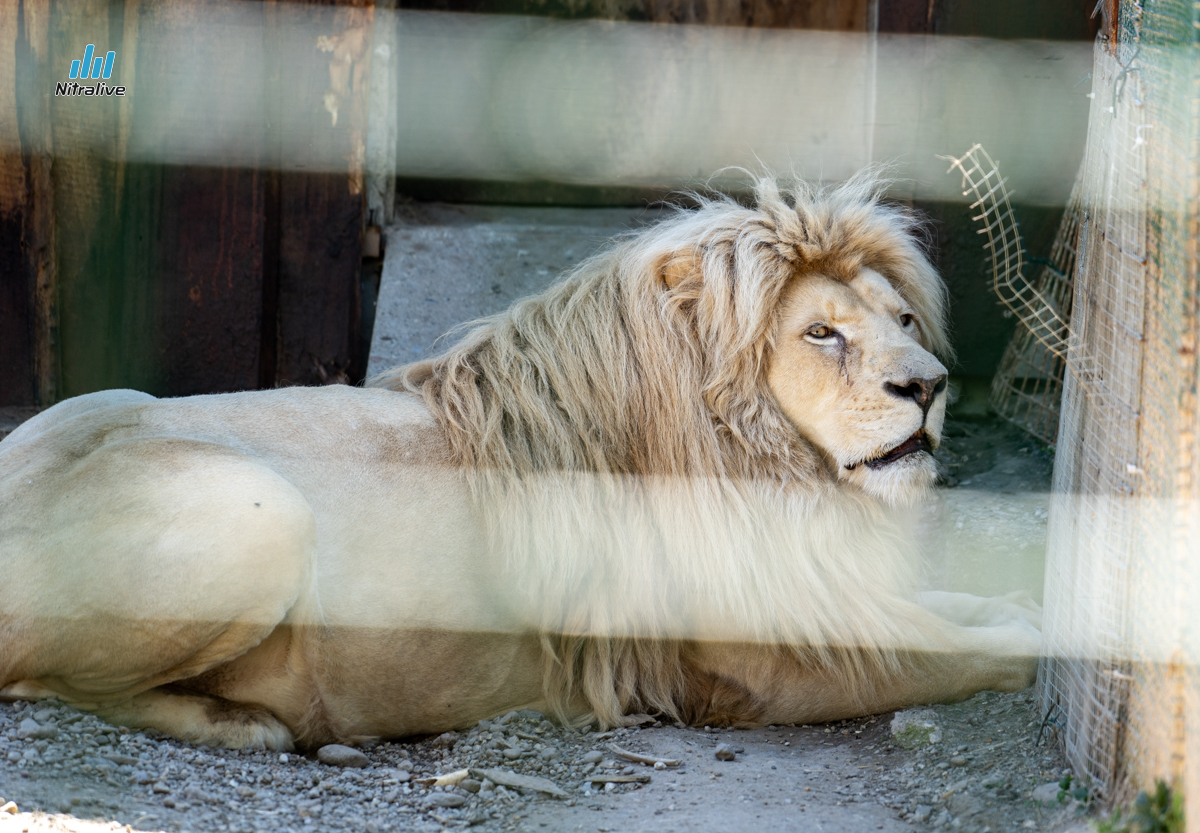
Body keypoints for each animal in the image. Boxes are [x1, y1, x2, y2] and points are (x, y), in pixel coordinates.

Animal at [0, 174, 1041, 748]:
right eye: (822, 333)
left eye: (904, 319)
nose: (929, 385)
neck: (778, 470)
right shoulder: (770, 665)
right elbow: (962, 651)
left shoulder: (832, 591)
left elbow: (956, 609)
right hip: (256, 511)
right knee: (42, 684)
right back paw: (249, 724)